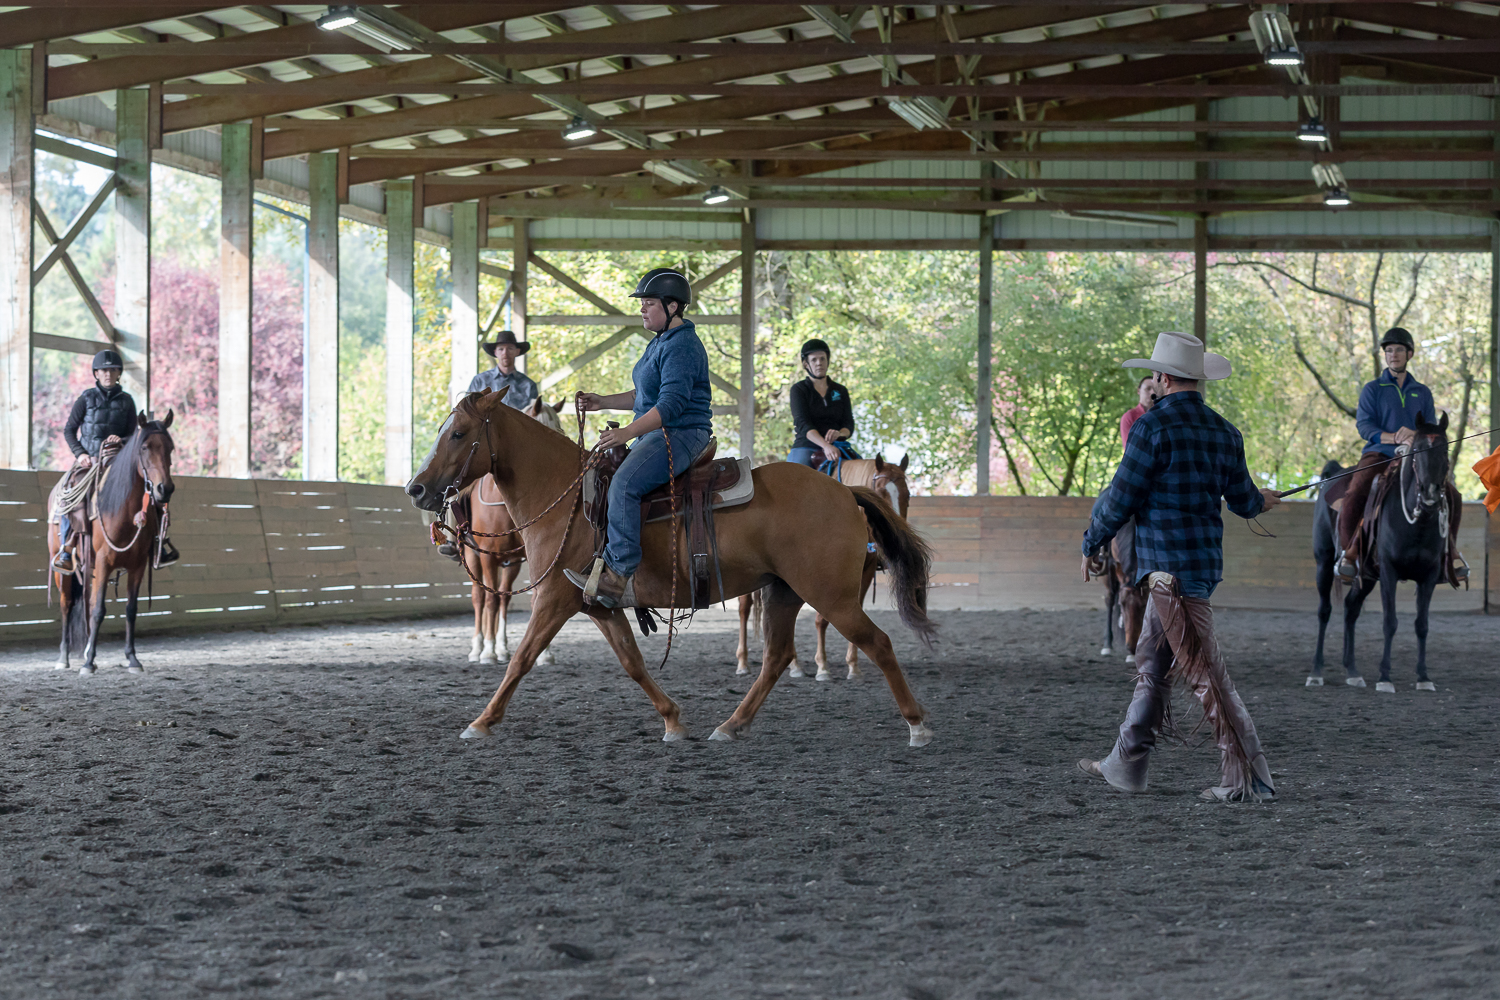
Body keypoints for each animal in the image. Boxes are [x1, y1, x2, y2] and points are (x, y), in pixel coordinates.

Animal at [48, 410, 175, 677]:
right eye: (145, 447)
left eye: (170, 447)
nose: (164, 489)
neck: (123, 510)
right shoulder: (105, 561)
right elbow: (98, 611)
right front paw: (87, 664)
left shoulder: (138, 566)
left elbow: (131, 610)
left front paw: (132, 659)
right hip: (63, 571)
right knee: (66, 605)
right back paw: (64, 657)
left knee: (87, 602)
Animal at [732, 452, 906, 680]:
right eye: (882, 490)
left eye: (907, 494)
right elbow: (821, 620)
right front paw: (822, 666)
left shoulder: (864, 572)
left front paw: (853, 666)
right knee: (745, 609)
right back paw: (744, 662)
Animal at [1320, 413, 1458, 689]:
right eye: (1417, 449)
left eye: (1445, 449)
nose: (1429, 494)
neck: (1417, 524)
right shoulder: (1388, 572)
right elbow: (1390, 622)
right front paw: (1385, 676)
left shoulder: (1428, 576)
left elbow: (1422, 625)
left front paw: (1423, 677)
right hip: (1323, 561)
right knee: (1325, 611)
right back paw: (1315, 672)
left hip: (1366, 577)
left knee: (1351, 608)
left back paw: (1352, 671)